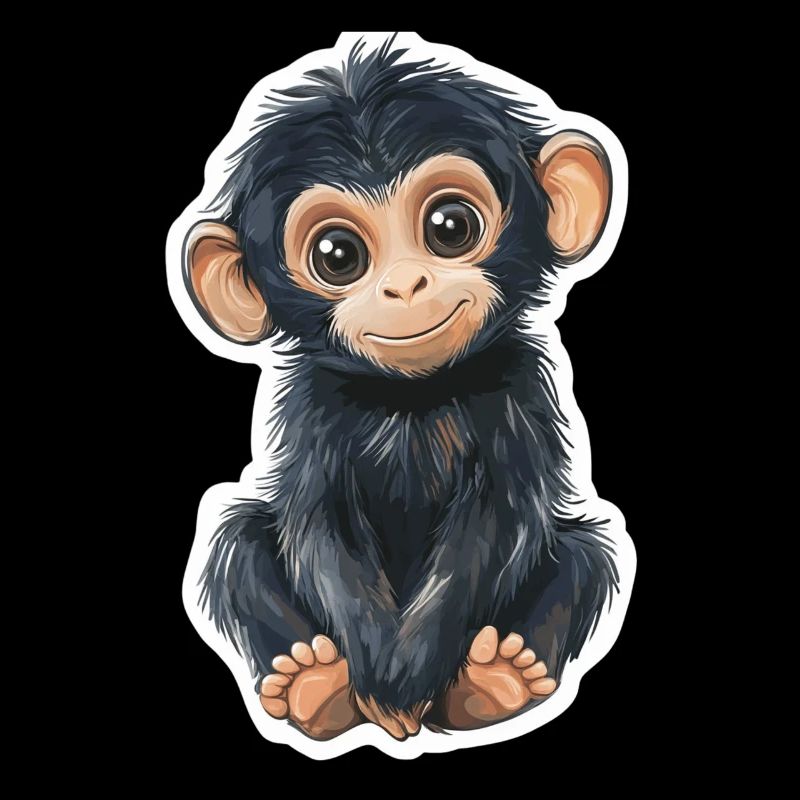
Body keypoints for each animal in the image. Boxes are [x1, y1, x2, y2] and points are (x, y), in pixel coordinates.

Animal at [178, 36, 626, 743]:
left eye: (450, 226)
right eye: (338, 256)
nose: (404, 286)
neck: (409, 399)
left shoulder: (517, 393)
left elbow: (496, 525)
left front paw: (407, 672)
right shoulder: (312, 412)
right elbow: (318, 525)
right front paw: (379, 676)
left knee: (584, 555)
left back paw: (495, 682)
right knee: (240, 541)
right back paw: (315, 684)